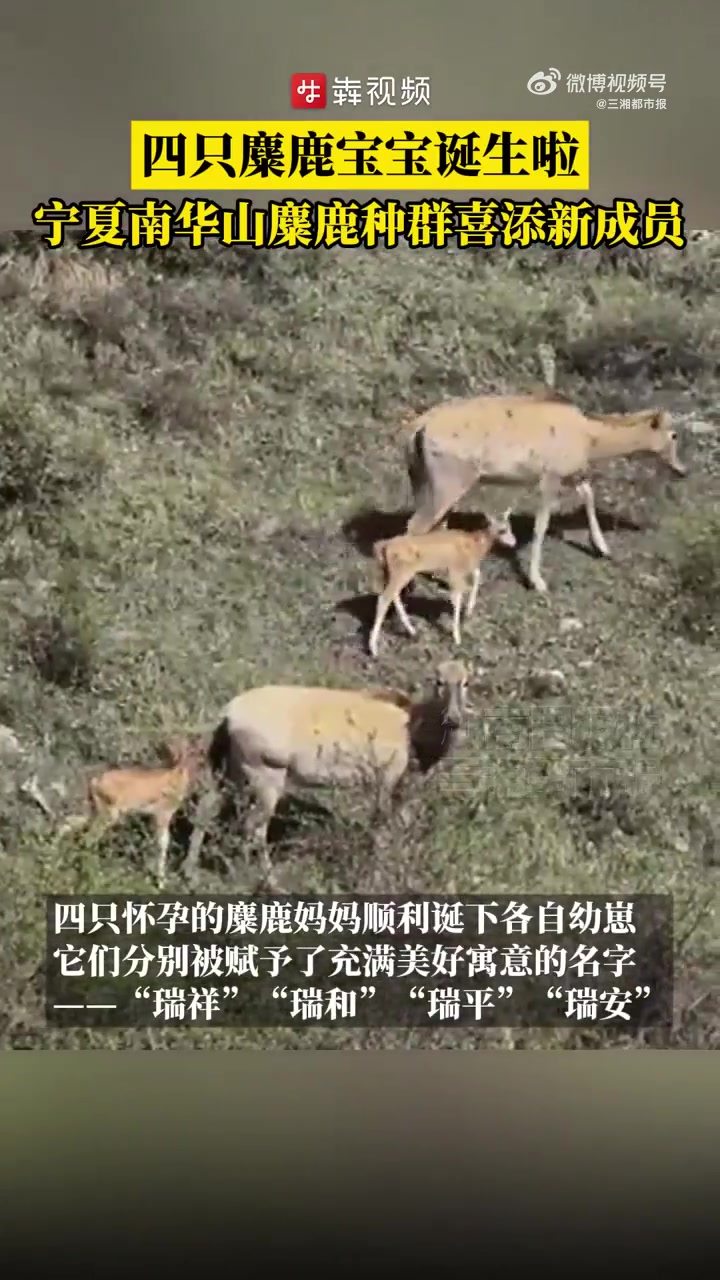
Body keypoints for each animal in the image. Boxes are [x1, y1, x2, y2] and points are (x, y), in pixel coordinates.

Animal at [182, 660, 471, 889]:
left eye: (466, 682)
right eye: (438, 681)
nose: (454, 719)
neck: (412, 727)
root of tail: (228, 714)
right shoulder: (385, 780)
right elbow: (380, 831)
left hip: (231, 770)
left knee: (207, 808)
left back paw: (191, 872)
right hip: (266, 775)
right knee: (254, 827)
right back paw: (267, 881)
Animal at [368, 509, 517, 656]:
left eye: (510, 527)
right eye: (502, 530)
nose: (514, 542)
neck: (473, 545)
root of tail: (383, 547)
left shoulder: (466, 568)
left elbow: (477, 577)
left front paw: (469, 610)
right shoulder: (455, 571)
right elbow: (456, 598)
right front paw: (457, 637)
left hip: (392, 573)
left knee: (393, 596)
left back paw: (412, 631)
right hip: (401, 573)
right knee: (384, 598)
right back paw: (373, 648)